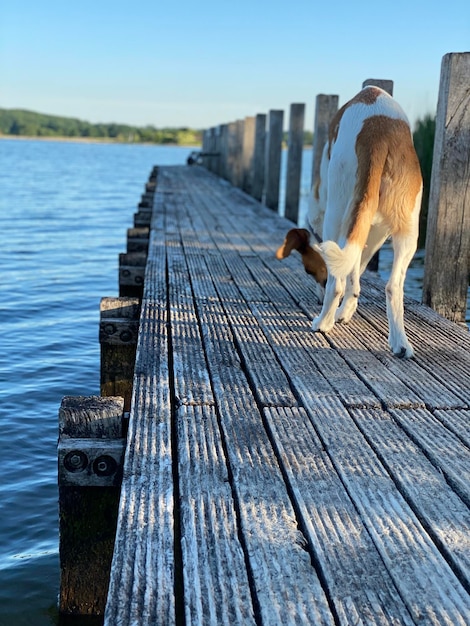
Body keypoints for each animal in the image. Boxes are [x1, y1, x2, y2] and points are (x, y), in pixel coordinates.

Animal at [276, 84, 422, 356]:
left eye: (308, 270)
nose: (317, 293)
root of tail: (378, 131)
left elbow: (345, 277)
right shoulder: (370, 233)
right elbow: (356, 270)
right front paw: (346, 310)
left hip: (338, 211)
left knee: (337, 285)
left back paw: (322, 323)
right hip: (407, 231)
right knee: (393, 287)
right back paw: (400, 343)